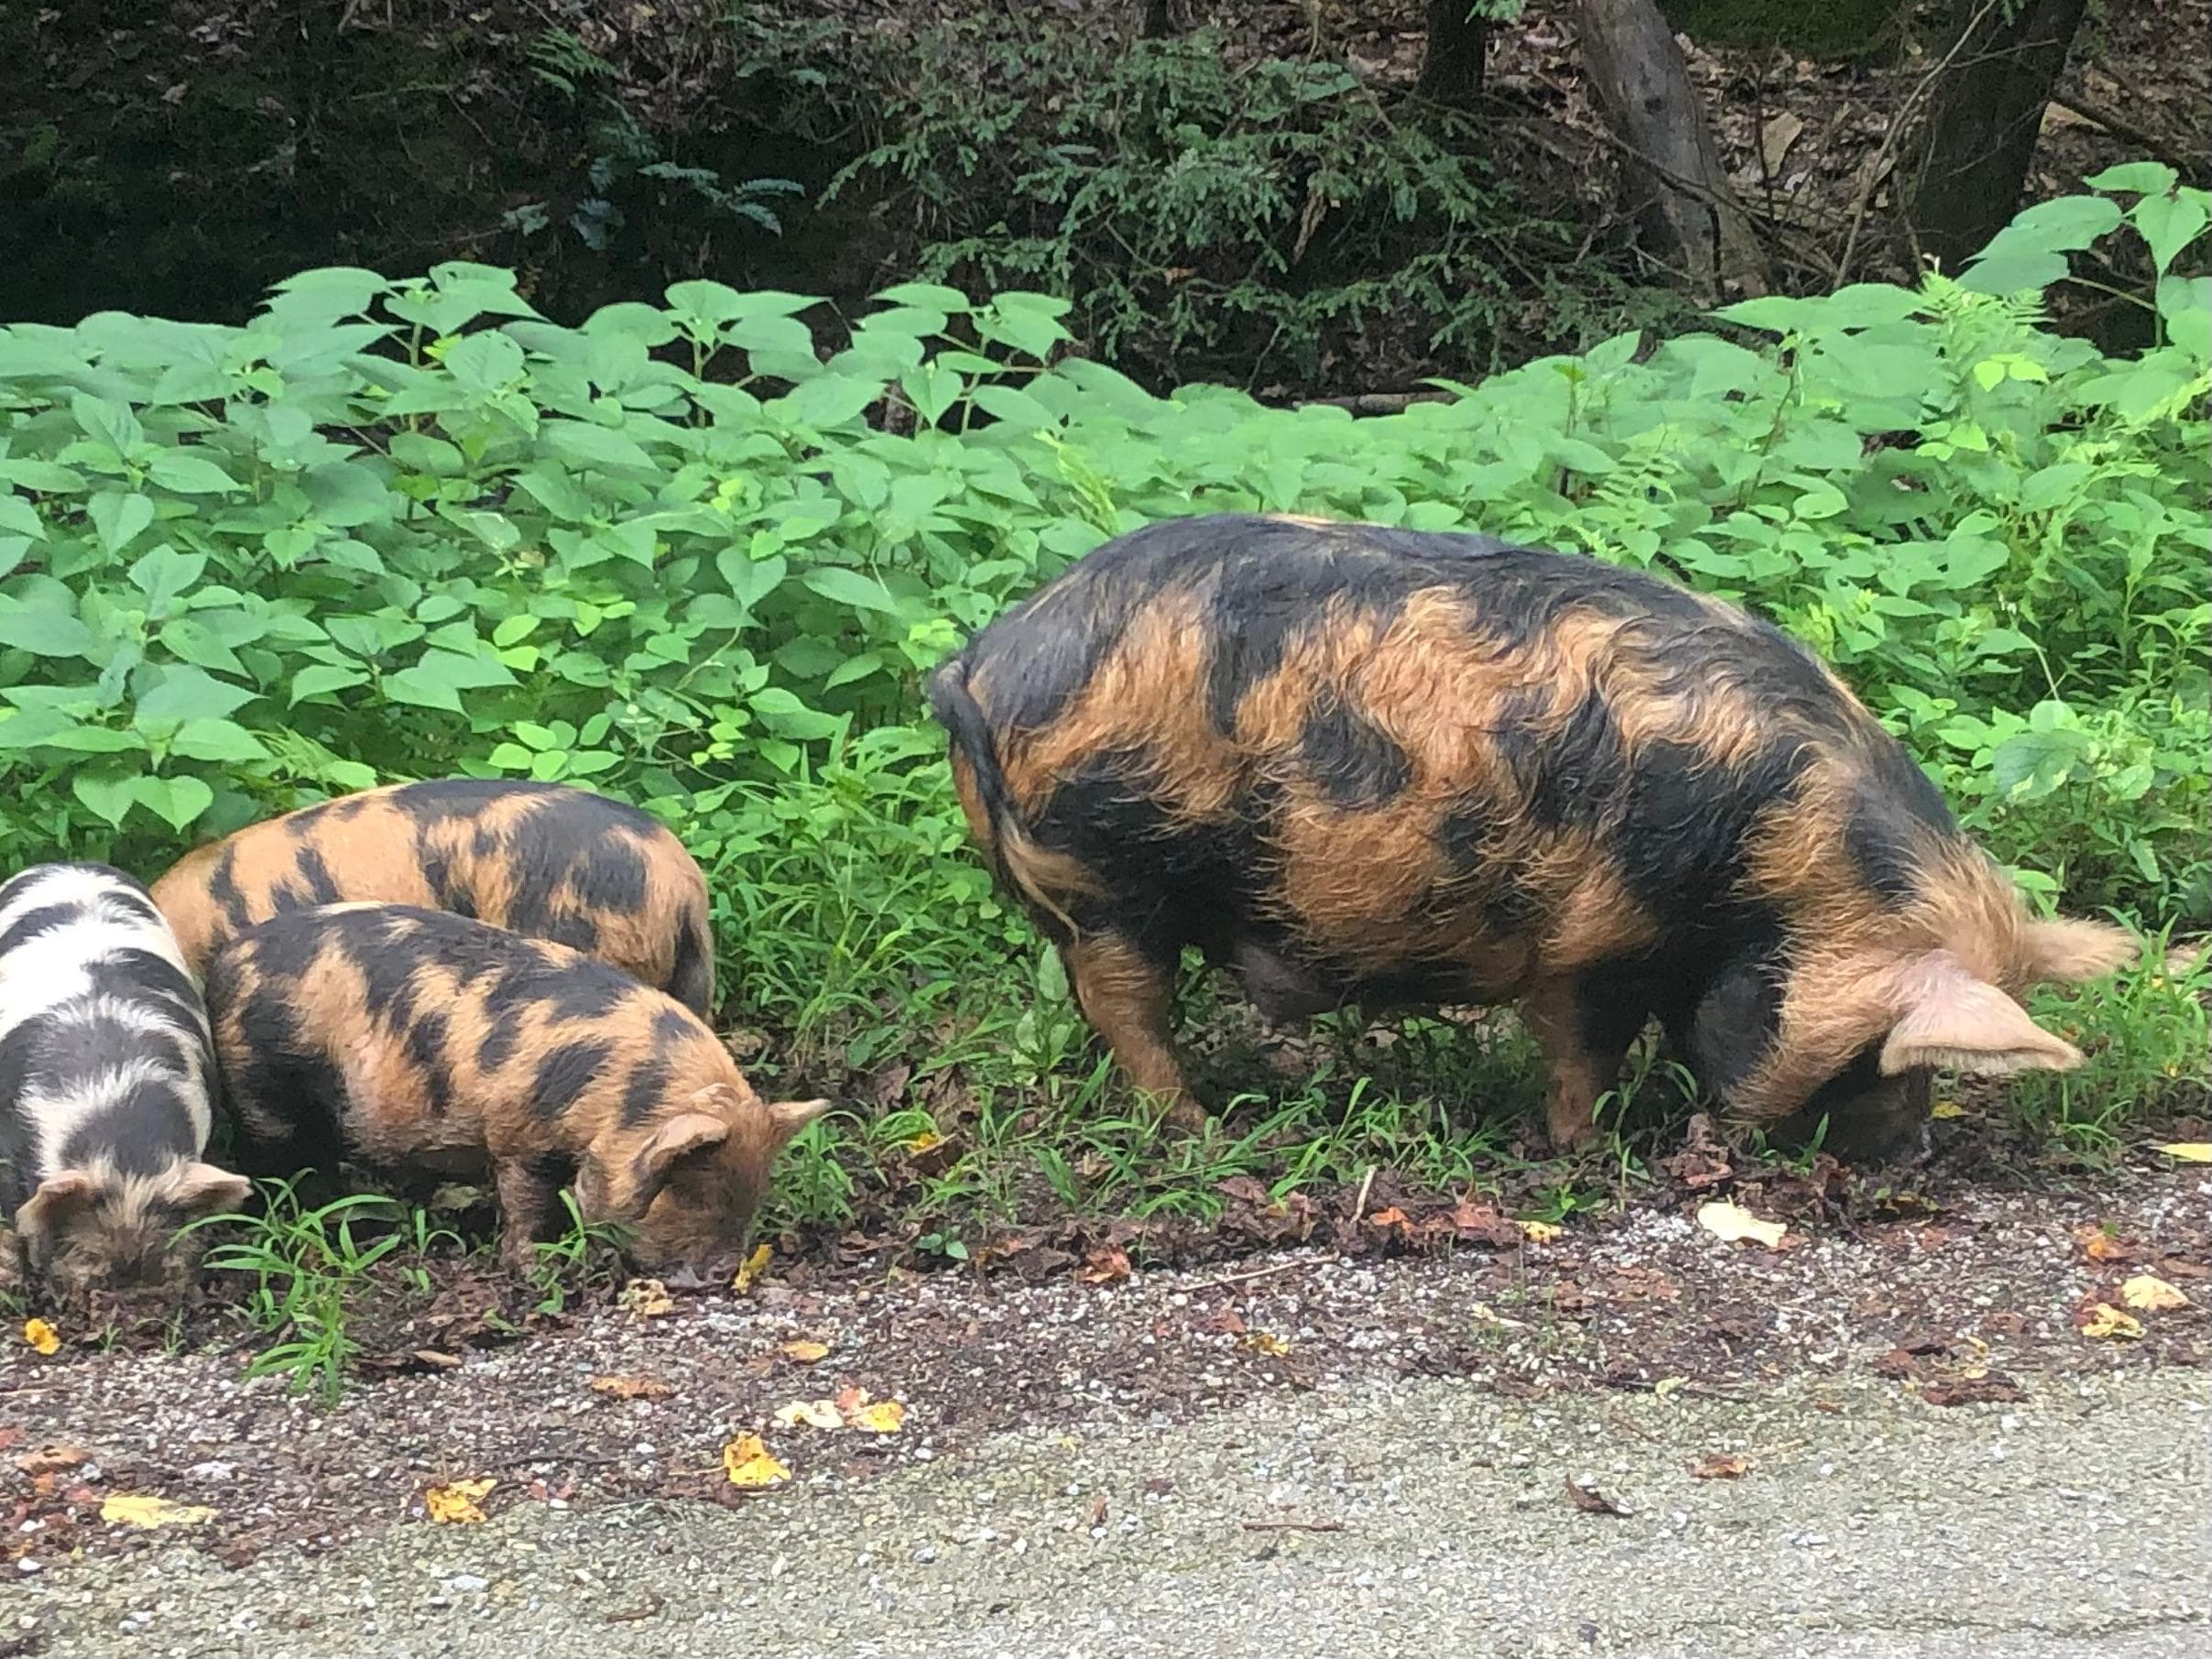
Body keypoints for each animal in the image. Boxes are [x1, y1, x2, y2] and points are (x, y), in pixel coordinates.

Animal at [203, 902, 826, 1273]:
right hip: (264, 1084)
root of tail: (227, 962)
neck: (617, 1095)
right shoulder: (519, 1134)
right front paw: (536, 1266)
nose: (724, 1271)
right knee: (280, 1161)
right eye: (690, 1187)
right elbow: (528, 1198)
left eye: (756, 1191)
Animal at [926, 513, 2137, 1165]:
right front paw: (1587, 1149)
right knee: (1127, 1007)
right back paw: (1205, 1127)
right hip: (1105, 876)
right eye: (1881, 1055)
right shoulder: (1589, 937)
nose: (1920, 1146)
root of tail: (983, 661)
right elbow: (1582, 1052)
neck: (1778, 862)